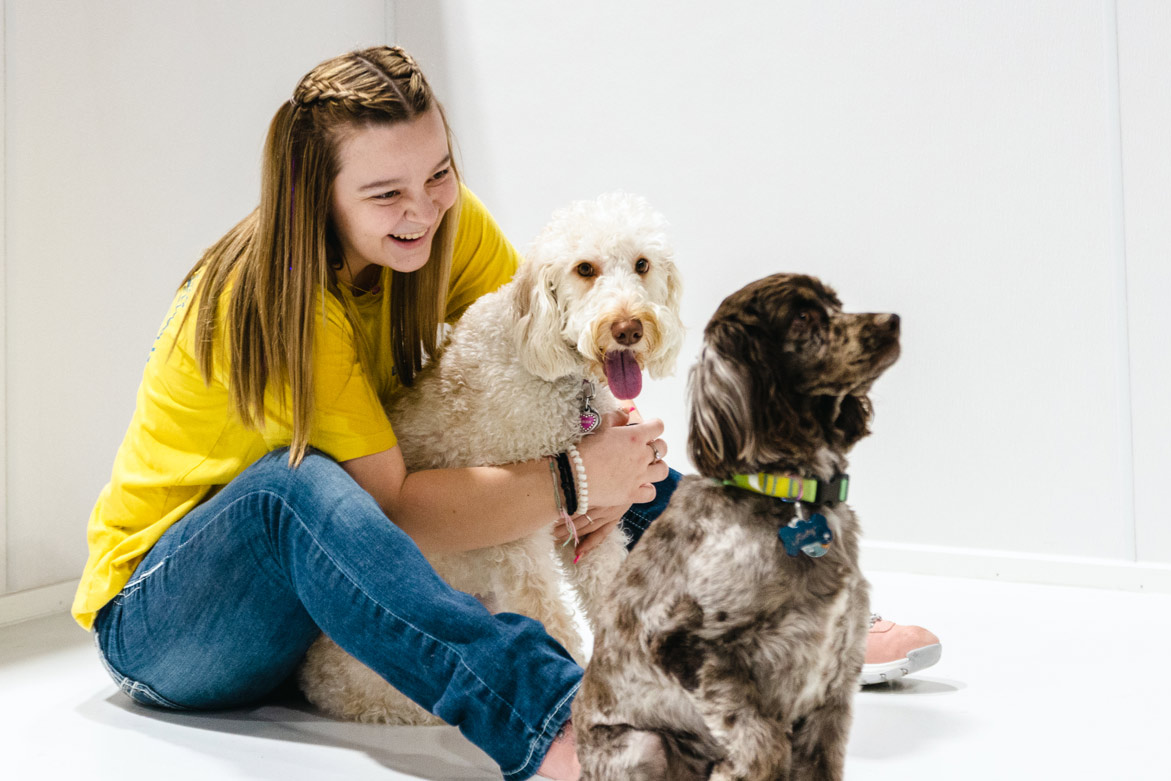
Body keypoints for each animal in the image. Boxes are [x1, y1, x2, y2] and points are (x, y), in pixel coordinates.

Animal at [297, 192, 683, 725]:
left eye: (642, 265)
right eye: (585, 269)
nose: (627, 328)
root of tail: (305, 679)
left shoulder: (595, 526)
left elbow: (610, 588)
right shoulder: (518, 534)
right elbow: (551, 619)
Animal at [571, 271, 899, 777]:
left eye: (836, 304)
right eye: (802, 316)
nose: (893, 321)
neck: (788, 493)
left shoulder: (834, 695)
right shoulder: (683, 642)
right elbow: (758, 739)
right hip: (645, 744)